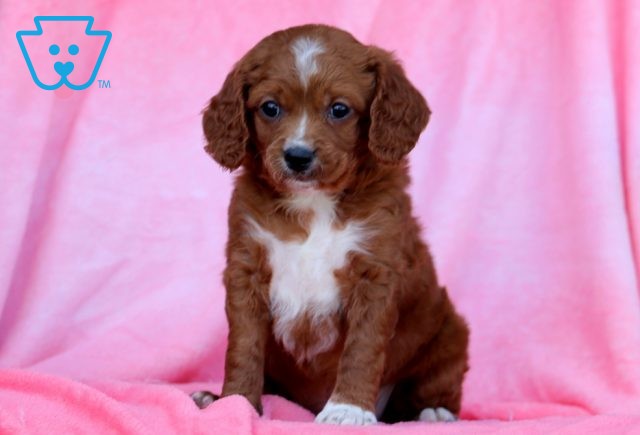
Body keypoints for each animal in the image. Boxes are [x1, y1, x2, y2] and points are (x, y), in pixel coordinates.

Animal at [191, 23, 470, 426]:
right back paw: (210, 397)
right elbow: (244, 345)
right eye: (270, 108)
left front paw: (348, 409)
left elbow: (362, 348)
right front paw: (236, 402)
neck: (314, 202)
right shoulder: (247, 267)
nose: (297, 156)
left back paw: (432, 412)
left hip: (449, 332)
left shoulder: (375, 273)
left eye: (339, 109)